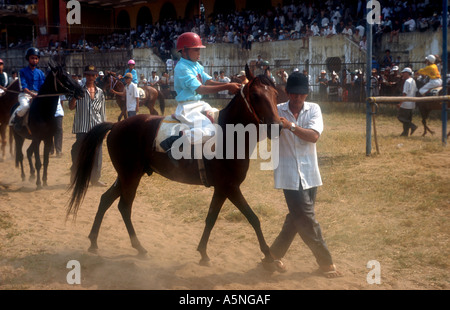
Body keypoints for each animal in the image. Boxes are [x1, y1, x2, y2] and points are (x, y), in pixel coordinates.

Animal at [67, 66, 284, 272]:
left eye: (275, 94)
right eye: (255, 95)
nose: (278, 126)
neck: (230, 135)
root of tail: (116, 125)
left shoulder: (222, 189)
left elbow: (211, 218)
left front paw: (203, 253)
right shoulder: (230, 187)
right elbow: (253, 218)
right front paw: (270, 257)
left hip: (127, 175)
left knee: (106, 200)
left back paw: (94, 242)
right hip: (130, 176)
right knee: (124, 207)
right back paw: (139, 247)